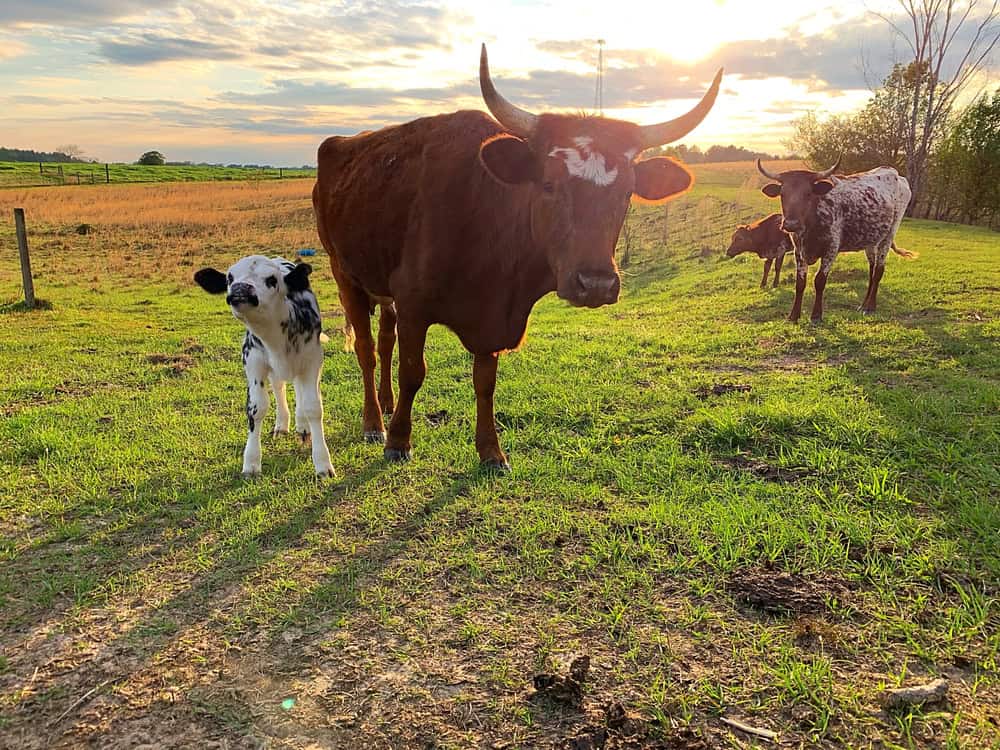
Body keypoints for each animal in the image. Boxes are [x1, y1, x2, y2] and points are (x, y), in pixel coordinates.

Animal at [194, 256, 335, 478]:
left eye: (271, 280)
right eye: (230, 277)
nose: (240, 288)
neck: (274, 338)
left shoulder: (313, 360)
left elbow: (313, 406)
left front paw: (322, 463)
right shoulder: (253, 360)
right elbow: (256, 408)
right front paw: (251, 463)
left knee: (299, 388)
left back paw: (303, 426)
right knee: (279, 386)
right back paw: (282, 425)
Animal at [313, 45, 722, 471]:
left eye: (627, 192)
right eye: (548, 184)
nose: (595, 284)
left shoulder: (491, 316)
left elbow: (485, 381)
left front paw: (491, 450)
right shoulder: (414, 303)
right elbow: (413, 371)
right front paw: (398, 440)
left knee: (384, 340)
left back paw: (387, 403)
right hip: (345, 275)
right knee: (367, 351)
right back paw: (374, 422)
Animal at [756, 159, 914, 323]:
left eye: (808, 193)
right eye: (782, 194)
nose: (791, 224)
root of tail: (897, 175)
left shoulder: (831, 249)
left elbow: (819, 281)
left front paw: (816, 315)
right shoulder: (799, 250)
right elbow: (800, 282)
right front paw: (793, 315)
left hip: (889, 235)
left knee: (878, 270)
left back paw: (870, 306)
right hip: (871, 240)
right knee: (872, 269)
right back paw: (863, 304)